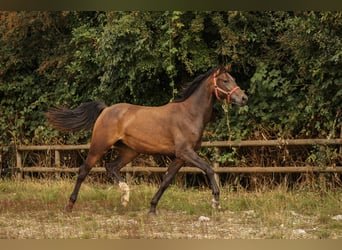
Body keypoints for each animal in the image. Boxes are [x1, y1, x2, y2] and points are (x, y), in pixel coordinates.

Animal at [46, 65, 248, 215]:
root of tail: (106, 109)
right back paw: (70, 205)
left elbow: (166, 180)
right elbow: (209, 169)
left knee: (111, 167)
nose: (244, 98)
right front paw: (215, 202)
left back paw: (125, 197)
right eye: (225, 80)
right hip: (100, 146)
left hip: (130, 151)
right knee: (83, 171)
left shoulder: (180, 157)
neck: (190, 114)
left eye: (233, 79)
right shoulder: (186, 152)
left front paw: (152, 208)